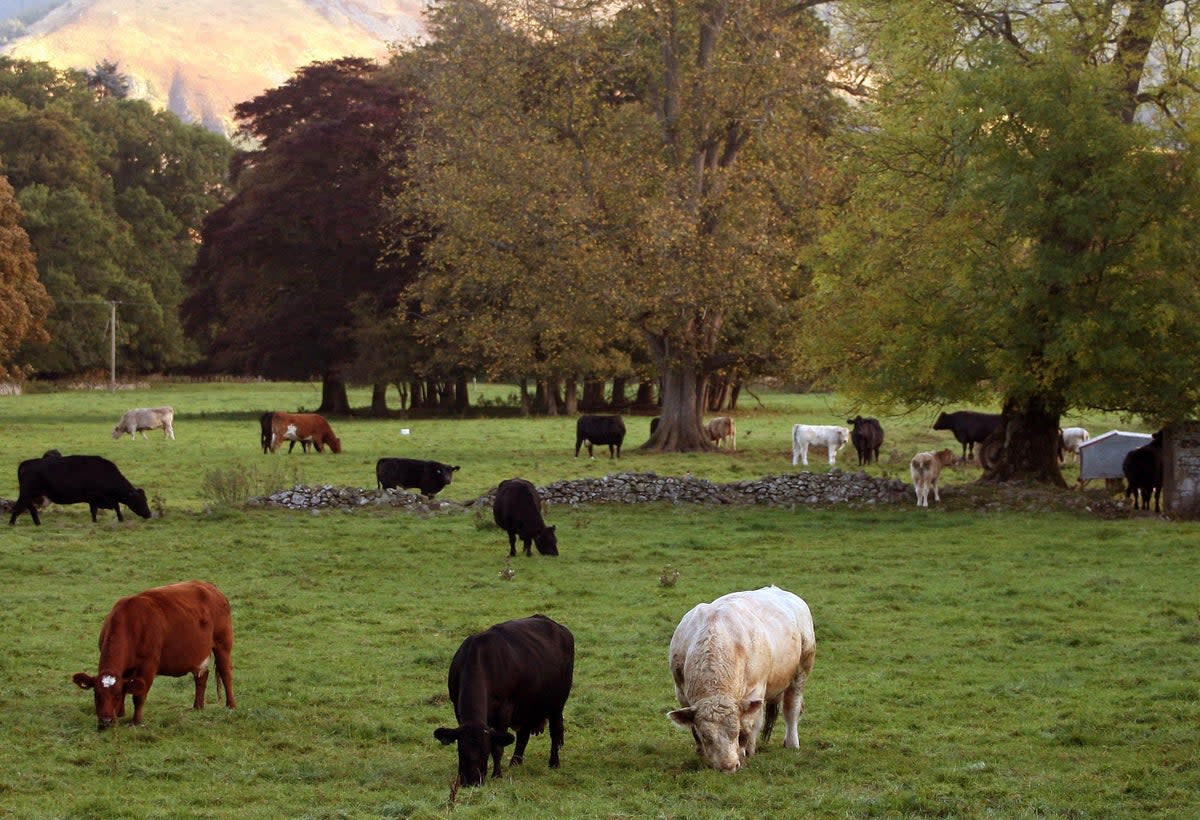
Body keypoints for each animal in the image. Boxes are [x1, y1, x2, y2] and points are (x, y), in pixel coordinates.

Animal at [8, 456, 152, 525]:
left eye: (145, 499)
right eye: (139, 500)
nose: (149, 514)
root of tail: (26, 463)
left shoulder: (99, 499)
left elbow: (113, 507)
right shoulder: (95, 497)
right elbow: (101, 509)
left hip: (31, 495)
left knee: (30, 508)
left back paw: (37, 523)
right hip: (26, 494)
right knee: (18, 507)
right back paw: (11, 523)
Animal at [72, 581, 234, 729]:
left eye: (116, 695)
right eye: (96, 694)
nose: (106, 721)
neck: (130, 626)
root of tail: (209, 586)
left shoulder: (148, 665)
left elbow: (138, 695)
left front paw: (136, 721)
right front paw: (120, 713)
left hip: (223, 644)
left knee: (226, 673)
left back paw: (231, 705)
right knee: (201, 677)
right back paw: (198, 707)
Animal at [436, 614, 576, 787]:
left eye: (485, 751)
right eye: (461, 751)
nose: (472, 781)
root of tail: (557, 626)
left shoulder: (504, 709)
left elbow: (498, 747)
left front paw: (497, 774)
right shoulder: (456, 705)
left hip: (557, 704)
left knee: (555, 731)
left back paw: (554, 762)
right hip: (526, 706)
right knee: (523, 735)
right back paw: (515, 762)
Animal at [667, 585, 816, 773]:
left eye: (735, 732)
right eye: (706, 736)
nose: (728, 766)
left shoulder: (755, 690)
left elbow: (747, 725)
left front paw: (743, 751)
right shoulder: (681, 692)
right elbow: (693, 727)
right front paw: (701, 753)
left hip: (802, 669)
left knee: (791, 708)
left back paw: (790, 743)